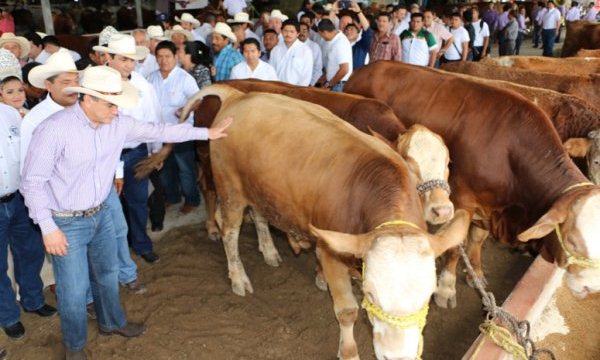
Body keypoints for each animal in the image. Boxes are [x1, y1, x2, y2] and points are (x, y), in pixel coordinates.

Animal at [204, 83, 472, 358]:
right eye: (370, 294)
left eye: (428, 294)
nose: (442, 209)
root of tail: (238, 96)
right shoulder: (331, 253)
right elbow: (347, 311)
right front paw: (349, 351)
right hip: (230, 191)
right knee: (229, 232)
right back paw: (238, 277)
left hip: (259, 190)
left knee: (259, 216)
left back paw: (269, 252)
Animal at [344, 61, 600, 306]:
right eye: (572, 241)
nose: (590, 287)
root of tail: (366, 68)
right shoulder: (461, 200)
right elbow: (456, 246)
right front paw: (446, 288)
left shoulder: (489, 206)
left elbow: (477, 239)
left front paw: (475, 272)